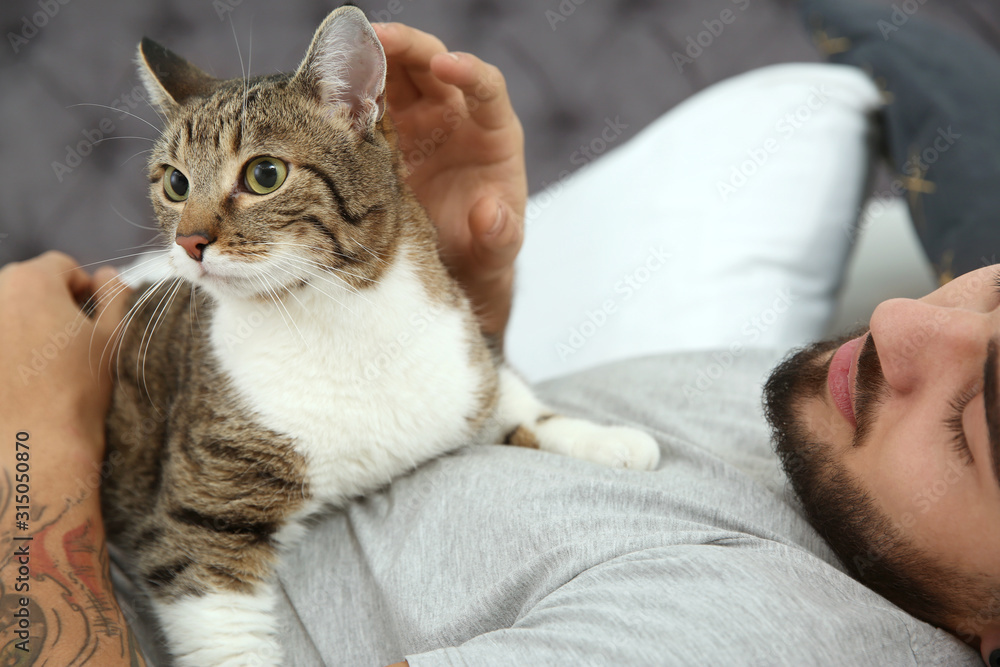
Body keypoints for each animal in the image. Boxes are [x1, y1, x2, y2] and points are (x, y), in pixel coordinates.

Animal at [103, 6, 664, 667]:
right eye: (175, 183)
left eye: (265, 174)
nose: (188, 242)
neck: (338, 313)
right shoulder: (201, 518)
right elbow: (223, 625)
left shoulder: (461, 367)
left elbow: (514, 402)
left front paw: (606, 439)